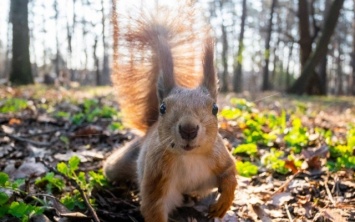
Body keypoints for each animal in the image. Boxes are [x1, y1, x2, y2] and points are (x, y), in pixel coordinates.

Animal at [104, 3, 238, 220]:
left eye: (215, 108)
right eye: (163, 108)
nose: (188, 129)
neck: (190, 157)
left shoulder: (219, 157)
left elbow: (230, 175)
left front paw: (223, 203)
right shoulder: (156, 179)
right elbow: (153, 209)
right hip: (123, 161)